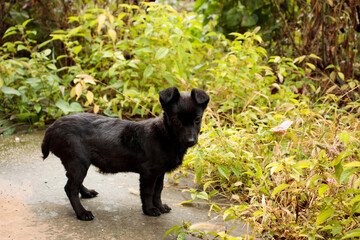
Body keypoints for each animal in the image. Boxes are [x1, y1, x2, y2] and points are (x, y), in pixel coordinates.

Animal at [42, 87, 210, 220]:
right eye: (176, 121)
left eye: (197, 119)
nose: (190, 140)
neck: (165, 135)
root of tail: (53, 127)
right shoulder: (149, 173)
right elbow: (148, 192)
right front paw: (150, 210)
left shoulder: (159, 172)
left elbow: (158, 191)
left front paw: (160, 206)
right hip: (79, 162)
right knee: (70, 188)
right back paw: (82, 213)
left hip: (77, 164)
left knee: (72, 182)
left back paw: (87, 193)